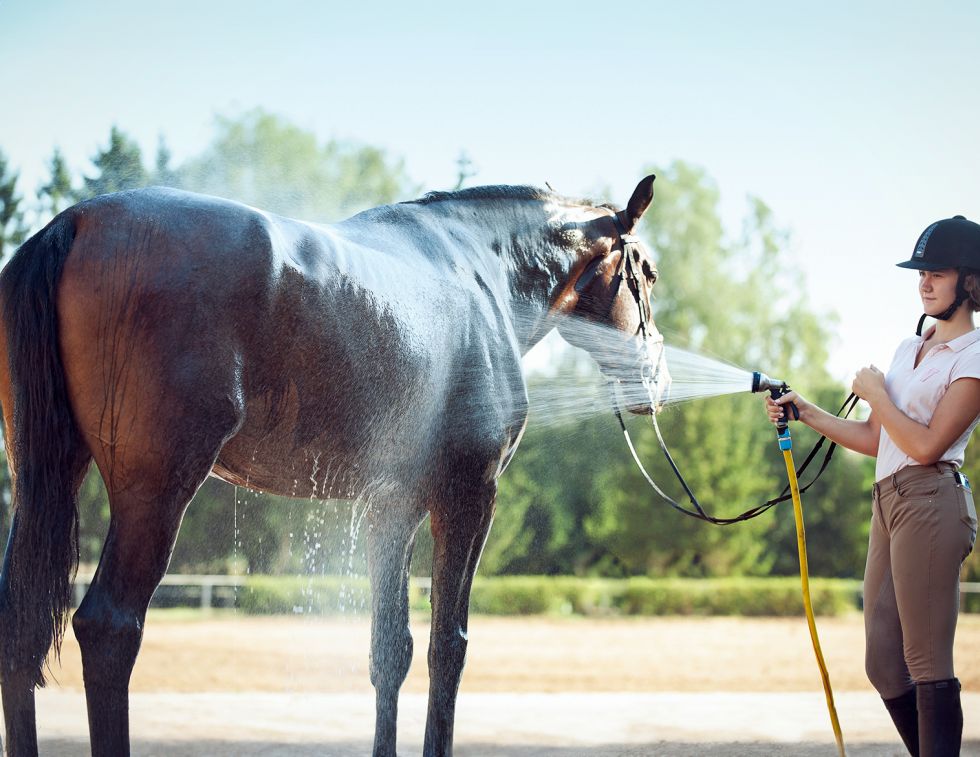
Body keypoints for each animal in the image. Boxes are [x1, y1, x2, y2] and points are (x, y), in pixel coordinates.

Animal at [0, 174, 662, 756]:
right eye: (648, 273)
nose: (657, 377)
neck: (482, 271)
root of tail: (75, 223)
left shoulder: (392, 507)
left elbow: (389, 650)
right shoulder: (469, 496)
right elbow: (448, 647)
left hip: (42, 478)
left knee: (20, 620)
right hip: (155, 493)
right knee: (109, 628)